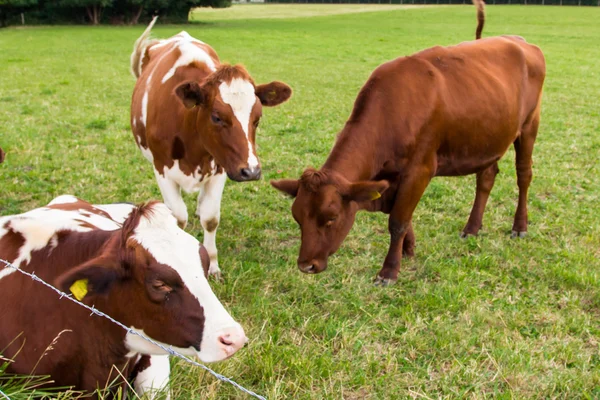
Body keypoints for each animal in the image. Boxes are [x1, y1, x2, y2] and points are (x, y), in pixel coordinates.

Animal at [272, 28, 544, 284]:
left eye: (331, 218)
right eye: (297, 217)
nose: (306, 265)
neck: (391, 110)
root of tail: (520, 41)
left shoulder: (420, 170)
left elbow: (398, 220)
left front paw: (389, 271)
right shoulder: (391, 176)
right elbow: (402, 216)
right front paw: (408, 250)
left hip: (529, 124)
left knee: (524, 175)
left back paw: (519, 226)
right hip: (490, 137)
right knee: (486, 178)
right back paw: (472, 228)